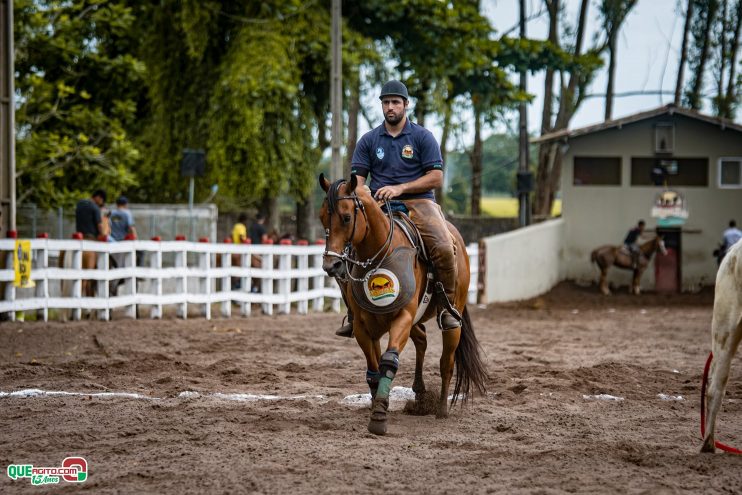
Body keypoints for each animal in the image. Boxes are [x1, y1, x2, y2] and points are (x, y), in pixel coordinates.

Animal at [320, 172, 488, 436]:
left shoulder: (403, 318)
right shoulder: (364, 327)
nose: (332, 265)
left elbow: (389, 361)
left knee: (446, 362)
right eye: (322, 217)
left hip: (453, 317)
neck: (381, 253)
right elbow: (374, 369)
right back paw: (419, 393)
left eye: (346, 217)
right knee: (422, 340)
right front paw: (378, 404)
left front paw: (379, 418)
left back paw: (441, 409)